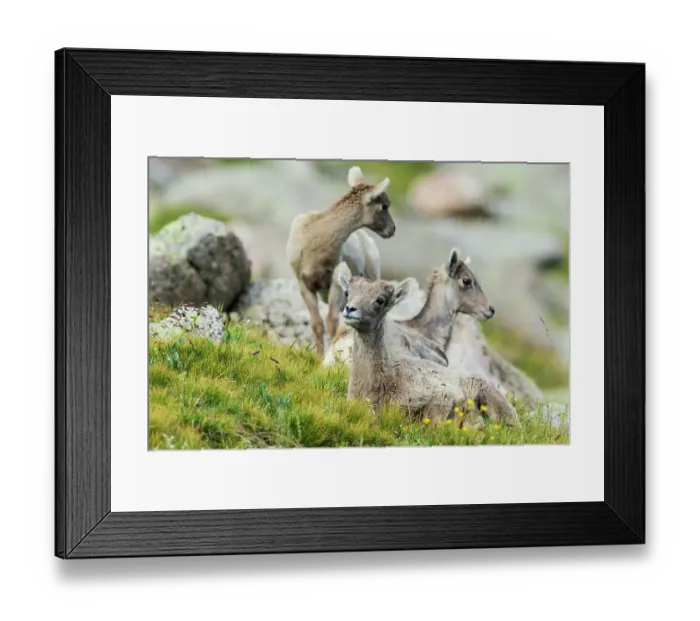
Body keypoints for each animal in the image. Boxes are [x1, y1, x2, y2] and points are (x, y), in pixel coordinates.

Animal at [286, 166, 396, 356]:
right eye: (384, 205)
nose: (392, 229)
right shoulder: (303, 283)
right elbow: (316, 323)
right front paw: (319, 357)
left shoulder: (336, 282)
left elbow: (331, 322)